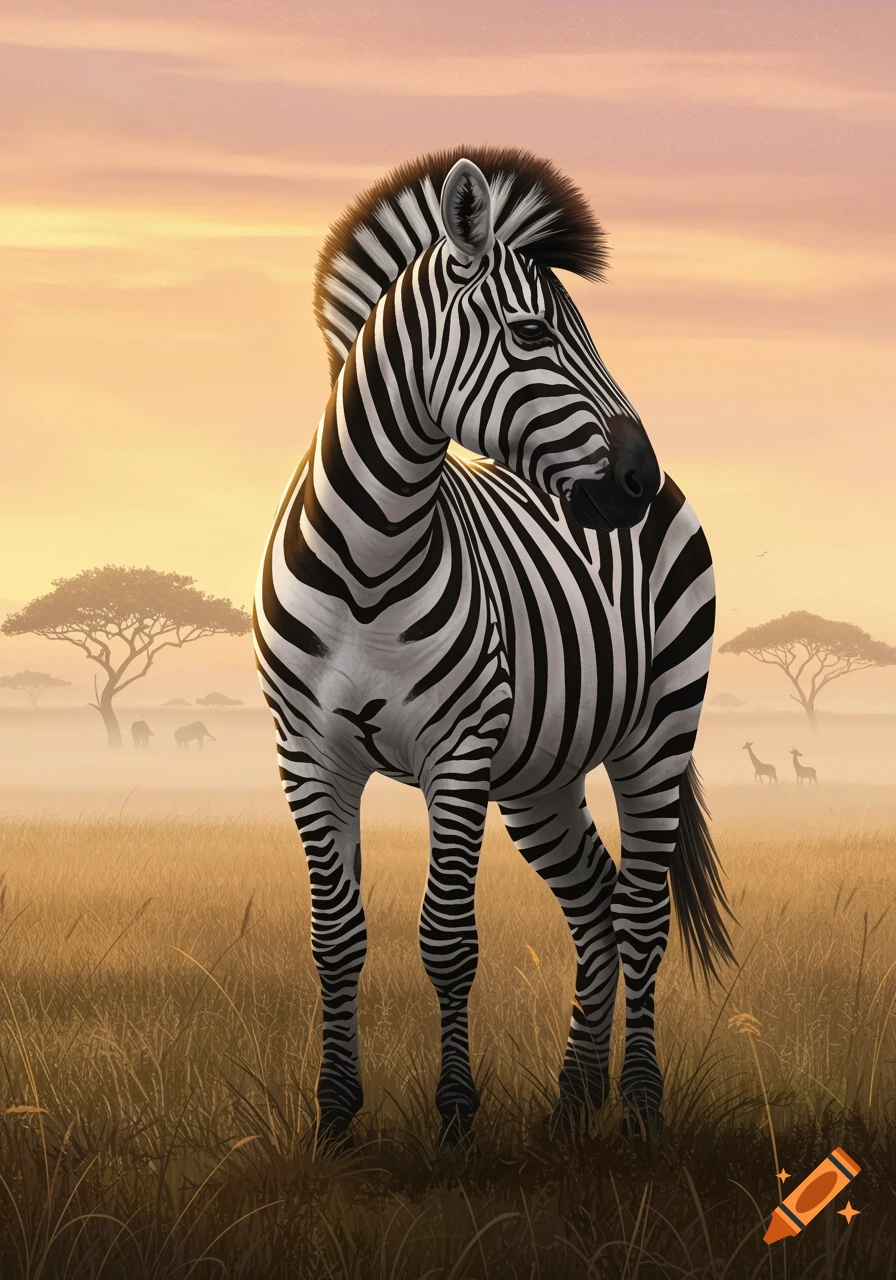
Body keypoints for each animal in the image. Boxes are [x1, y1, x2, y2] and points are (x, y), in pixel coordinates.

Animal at [254, 146, 734, 1148]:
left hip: (659, 733)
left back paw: (638, 1107)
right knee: (594, 903)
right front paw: (335, 1119)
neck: (368, 562)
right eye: (529, 332)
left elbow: (447, 937)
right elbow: (334, 936)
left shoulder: (458, 753)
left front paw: (455, 1118)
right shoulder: (306, 755)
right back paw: (573, 1101)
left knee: (639, 912)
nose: (638, 479)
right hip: (540, 775)